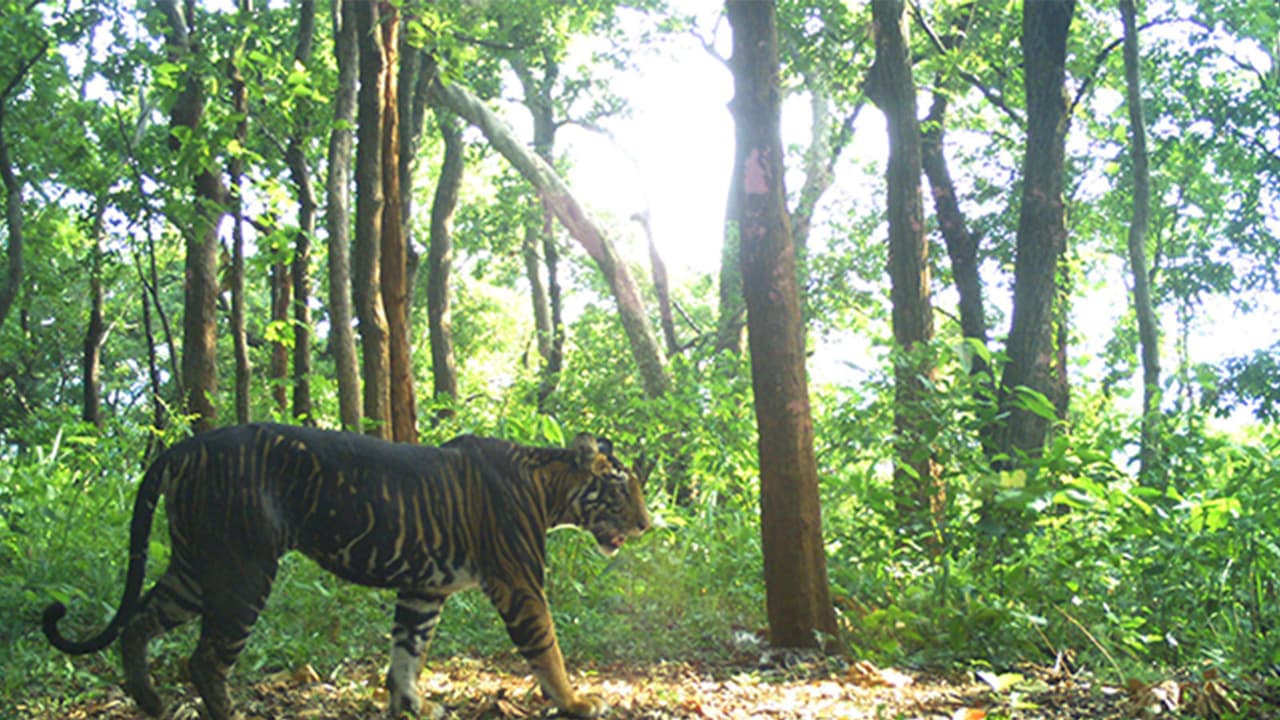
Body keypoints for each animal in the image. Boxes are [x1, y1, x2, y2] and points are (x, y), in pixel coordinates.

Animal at [42, 423, 651, 719]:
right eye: (621, 487)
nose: (647, 524)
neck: (549, 489)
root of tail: (186, 445)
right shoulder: (520, 583)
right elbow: (547, 648)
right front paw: (576, 703)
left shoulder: (423, 589)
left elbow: (408, 651)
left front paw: (412, 705)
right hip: (242, 571)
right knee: (206, 659)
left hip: (196, 566)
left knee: (139, 624)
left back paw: (149, 701)